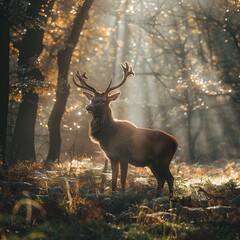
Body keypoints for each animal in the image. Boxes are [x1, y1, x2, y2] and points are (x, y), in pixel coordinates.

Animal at [73, 62, 178, 199]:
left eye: (103, 100)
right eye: (91, 99)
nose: (88, 107)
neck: (109, 136)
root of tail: (176, 143)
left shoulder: (124, 155)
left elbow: (123, 179)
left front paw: (123, 195)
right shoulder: (112, 157)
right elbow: (113, 180)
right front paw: (112, 195)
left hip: (163, 159)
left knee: (170, 178)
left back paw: (170, 200)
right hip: (152, 163)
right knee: (161, 179)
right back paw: (157, 197)